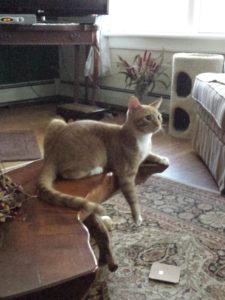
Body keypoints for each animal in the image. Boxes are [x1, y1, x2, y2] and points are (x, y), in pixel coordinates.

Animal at [37, 96, 169, 225]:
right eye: (148, 117)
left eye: (159, 117)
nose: (159, 124)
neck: (143, 139)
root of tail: (52, 153)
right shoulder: (126, 175)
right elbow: (132, 197)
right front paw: (137, 216)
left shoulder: (144, 154)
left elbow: (150, 155)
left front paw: (162, 158)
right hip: (97, 151)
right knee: (67, 174)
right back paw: (96, 170)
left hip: (56, 122)